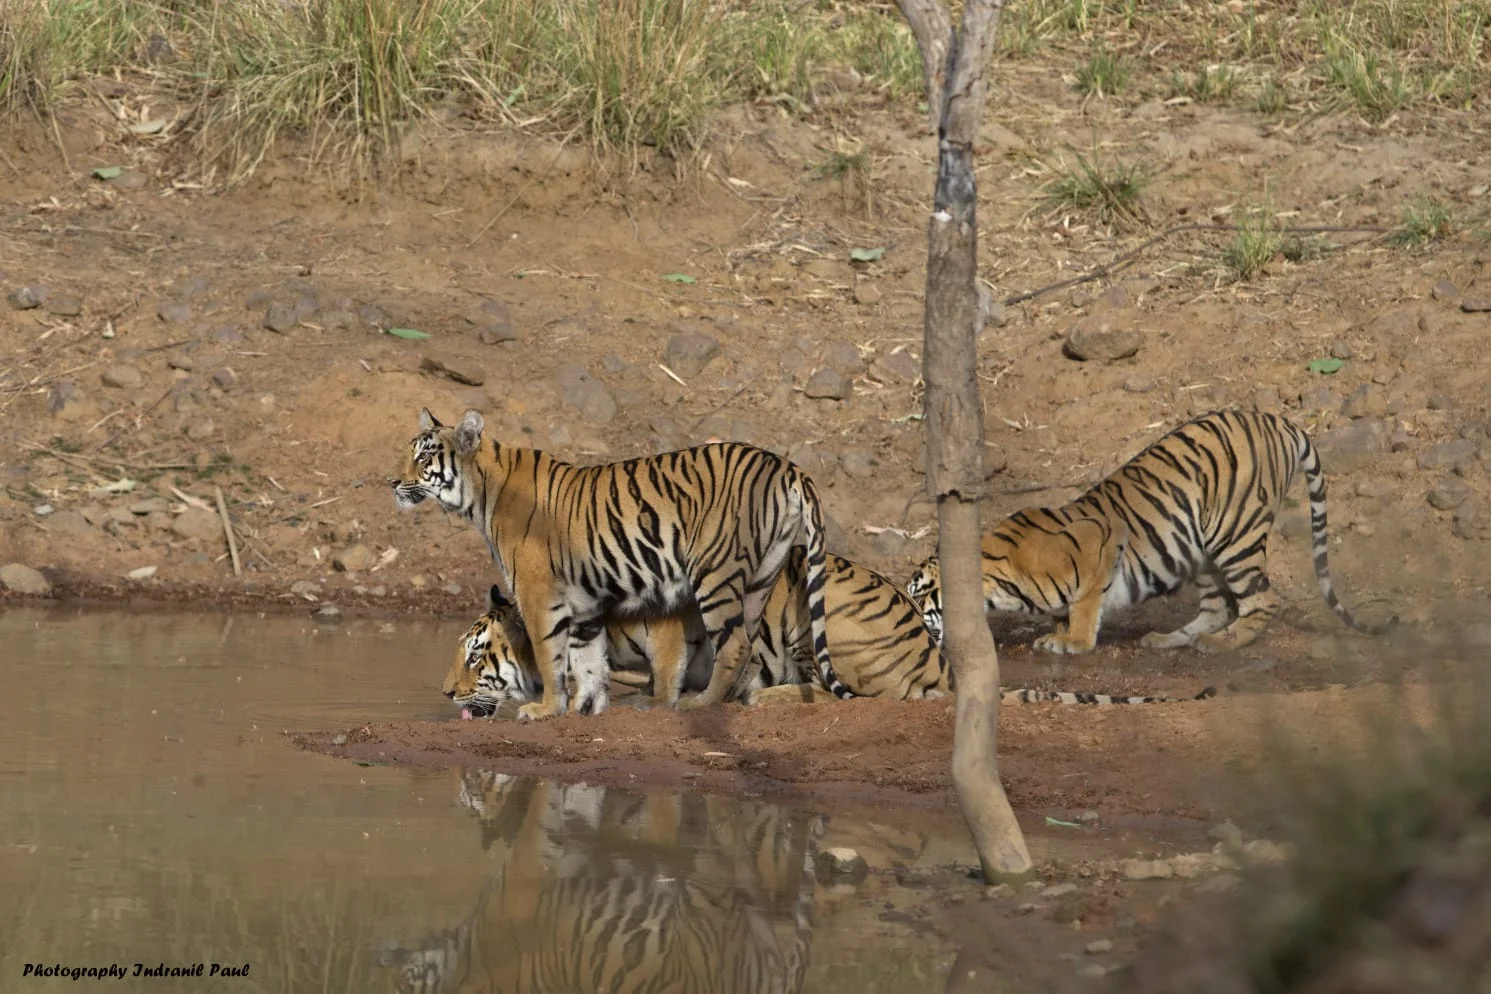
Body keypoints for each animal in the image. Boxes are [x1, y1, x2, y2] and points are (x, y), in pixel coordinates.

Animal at [393, 407, 848, 721]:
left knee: (733, 643)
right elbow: (588, 660)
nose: (392, 482)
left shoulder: (540, 596)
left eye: (424, 457)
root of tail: (785, 464)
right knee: (749, 644)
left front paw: (544, 709)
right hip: (761, 576)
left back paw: (700, 704)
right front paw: (585, 708)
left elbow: (550, 655)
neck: (482, 494)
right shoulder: (585, 603)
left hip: (715, 572)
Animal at [905, 408, 1391, 656]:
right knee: (1217, 606)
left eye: (919, 592)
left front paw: (1071, 643)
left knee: (1261, 601)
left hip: (1234, 534)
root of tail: (1279, 420)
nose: (908, 616)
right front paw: (1056, 633)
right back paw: (1170, 639)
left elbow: (1084, 604)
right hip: (1202, 549)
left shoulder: (1101, 539)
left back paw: (1222, 644)